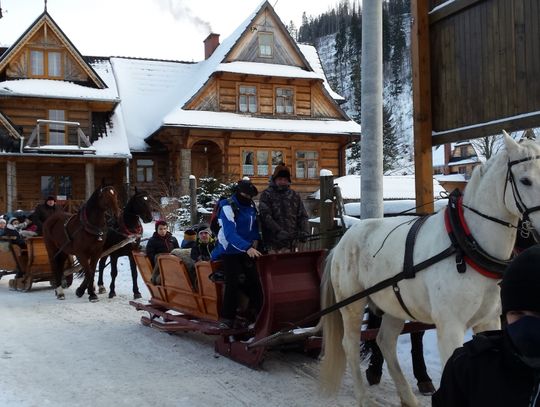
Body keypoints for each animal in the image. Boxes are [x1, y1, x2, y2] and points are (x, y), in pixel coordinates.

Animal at [318, 132, 540, 406]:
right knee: (349, 343)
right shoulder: (450, 326)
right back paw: (363, 397)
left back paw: (407, 396)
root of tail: (343, 240)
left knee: (385, 340)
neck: (466, 243)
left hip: (393, 303)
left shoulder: (489, 321)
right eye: (525, 180)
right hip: (352, 304)